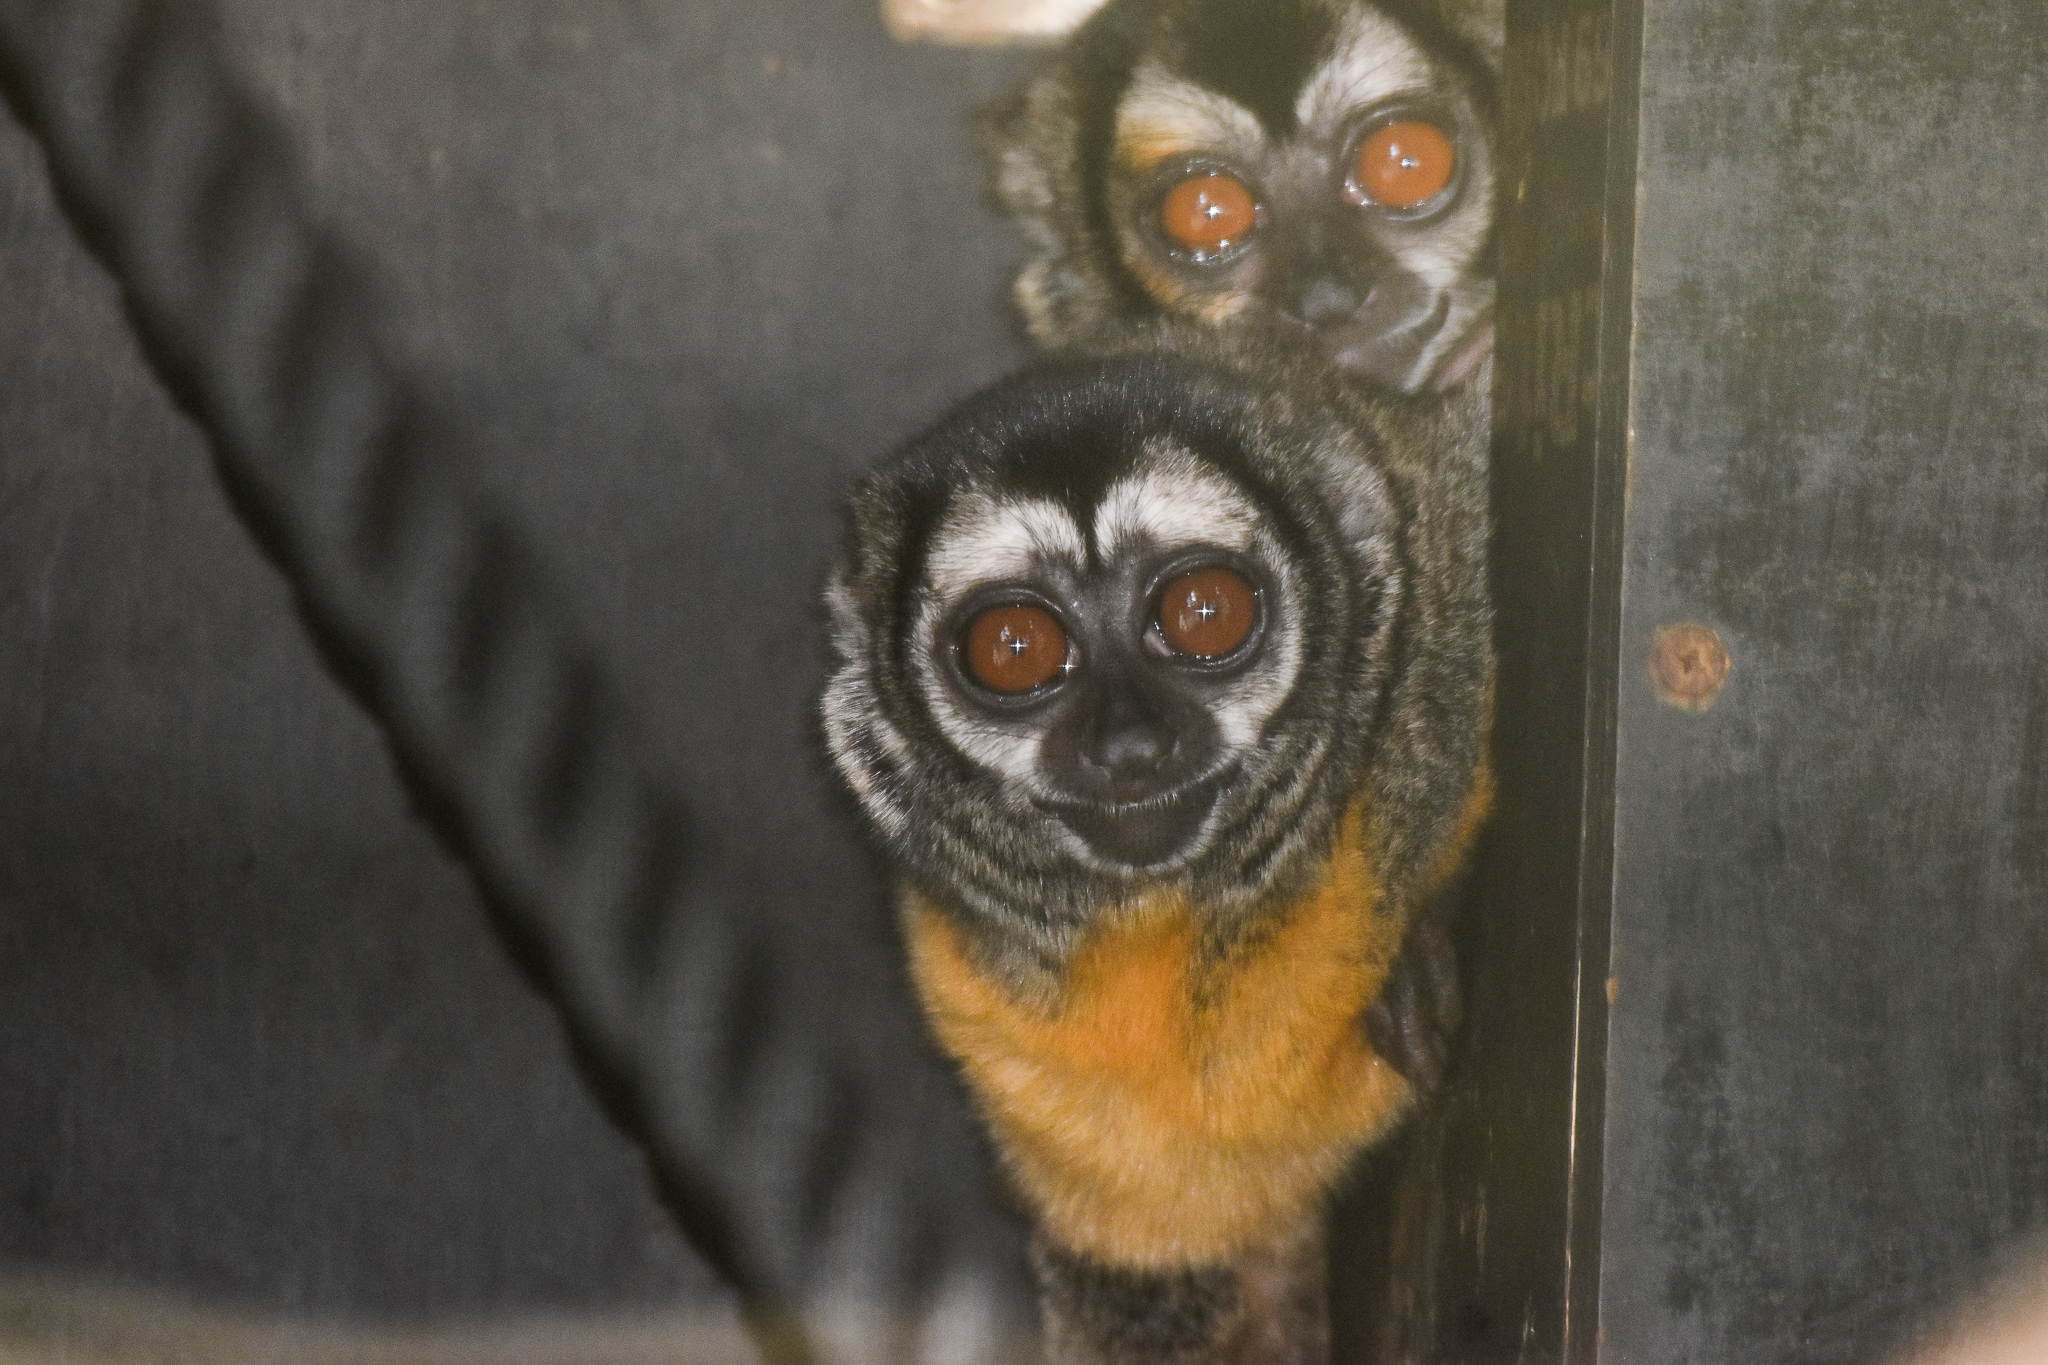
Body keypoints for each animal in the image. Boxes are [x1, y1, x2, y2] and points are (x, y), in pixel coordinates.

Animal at [821, 328, 1492, 1361]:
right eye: (1013, 647)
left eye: (1205, 613)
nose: (1130, 745)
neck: (1186, 906)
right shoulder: (984, 1019)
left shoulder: (1451, 593)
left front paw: (1418, 956)